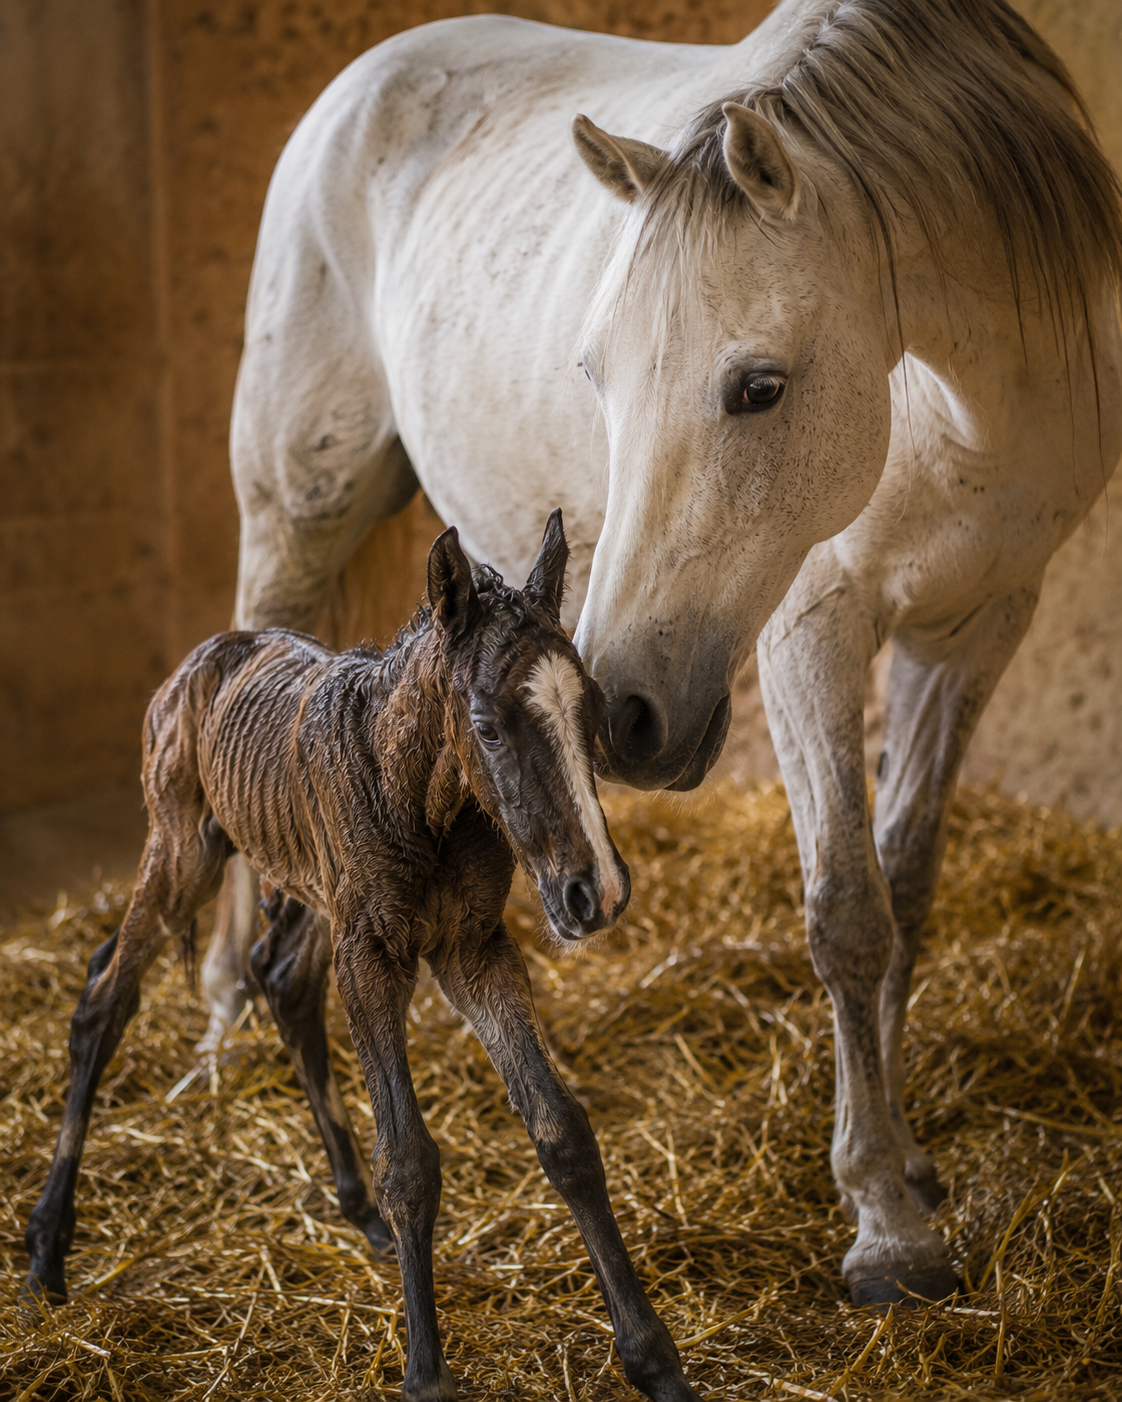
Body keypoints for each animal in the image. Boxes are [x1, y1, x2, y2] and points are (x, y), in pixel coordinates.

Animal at [24, 514, 707, 1402]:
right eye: (487, 725)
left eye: (588, 713)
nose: (598, 891)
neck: (420, 794)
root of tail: (208, 652)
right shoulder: (375, 956)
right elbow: (410, 1158)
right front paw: (427, 1375)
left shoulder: (472, 948)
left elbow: (561, 1130)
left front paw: (656, 1362)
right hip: (185, 850)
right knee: (105, 1000)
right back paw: (46, 1249)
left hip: (315, 892)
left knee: (281, 980)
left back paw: (359, 1212)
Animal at [202, 0, 1122, 1308]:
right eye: (596, 373)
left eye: (759, 386)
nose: (619, 716)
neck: (961, 397)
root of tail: (367, 76)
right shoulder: (812, 630)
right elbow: (846, 912)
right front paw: (885, 1222)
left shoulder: (978, 626)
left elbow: (905, 889)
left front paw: (906, 1161)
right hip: (296, 514)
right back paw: (223, 1018)